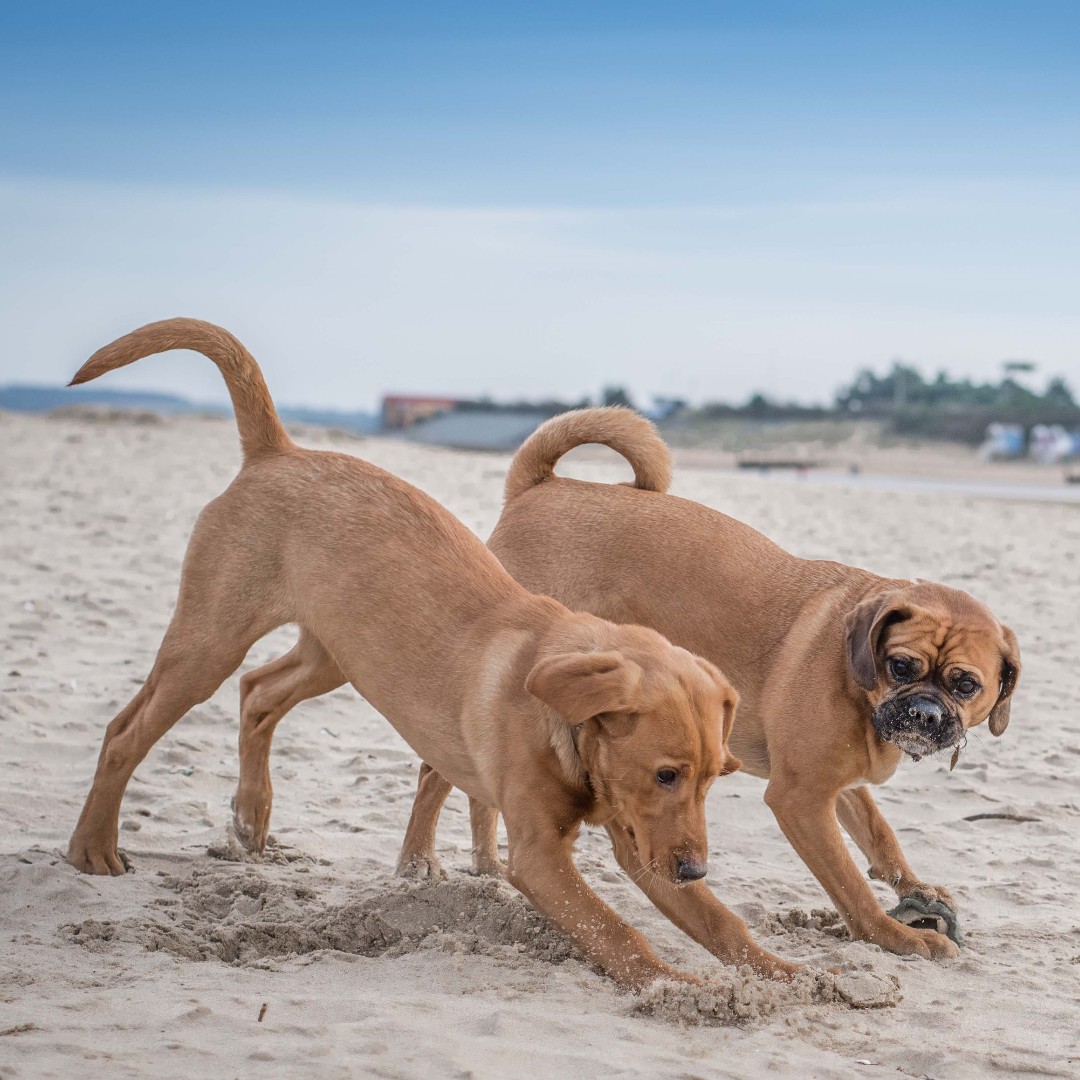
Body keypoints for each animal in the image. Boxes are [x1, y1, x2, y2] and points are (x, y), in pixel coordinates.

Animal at [65, 324, 794, 989]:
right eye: (667, 774)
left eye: (712, 779)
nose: (697, 868)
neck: (560, 723)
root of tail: (278, 451)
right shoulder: (542, 856)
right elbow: (614, 932)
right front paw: (677, 987)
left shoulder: (640, 839)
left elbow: (719, 921)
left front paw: (784, 976)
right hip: (208, 641)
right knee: (127, 729)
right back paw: (93, 849)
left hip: (337, 651)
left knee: (260, 691)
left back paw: (251, 816)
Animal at [399, 408, 1019, 959]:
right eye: (902, 667)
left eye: (966, 685)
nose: (924, 714)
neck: (855, 677)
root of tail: (541, 485)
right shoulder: (801, 800)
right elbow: (850, 887)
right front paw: (899, 937)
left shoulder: (839, 787)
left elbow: (879, 832)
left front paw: (913, 887)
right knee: (434, 774)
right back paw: (417, 862)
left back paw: (487, 864)